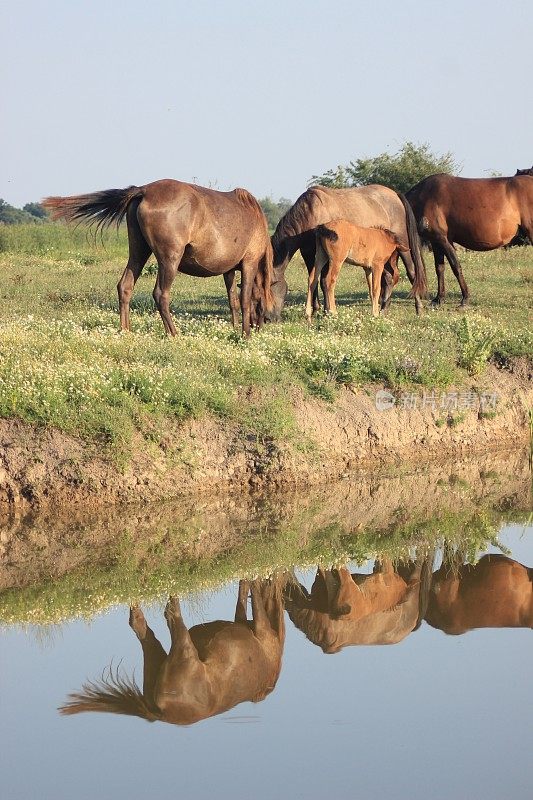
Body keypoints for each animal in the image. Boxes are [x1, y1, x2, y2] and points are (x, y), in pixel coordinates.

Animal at [43, 180, 272, 336]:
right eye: (263, 305)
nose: (261, 326)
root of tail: (143, 190)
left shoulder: (229, 270)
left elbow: (232, 300)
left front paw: (234, 329)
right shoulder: (249, 263)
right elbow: (244, 299)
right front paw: (244, 334)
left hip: (138, 252)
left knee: (125, 286)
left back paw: (126, 330)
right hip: (169, 260)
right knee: (161, 294)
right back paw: (174, 333)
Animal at [59, 576, 286, 724]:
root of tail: (162, 714)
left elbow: (242, 594)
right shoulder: (260, 627)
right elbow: (252, 593)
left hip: (158, 661)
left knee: (144, 625)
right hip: (183, 647)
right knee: (171, 614)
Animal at [268, 186, 426, 320]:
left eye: (269, 287)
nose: (268, 318)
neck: (311, 211)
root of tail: (396, 195)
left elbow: (323, 281)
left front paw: (326, 311)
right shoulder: (309, 253)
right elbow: (314, 280)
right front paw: (315, 310)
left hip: (404, 248)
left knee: (412, 273)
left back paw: (419, 308)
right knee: (388, 277)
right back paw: (383, 308)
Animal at [404, 172, 532, 306]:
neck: (424, 197)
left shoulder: (443, 239)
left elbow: (456, 266)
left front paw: (465, 298)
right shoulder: (436, 241)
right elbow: (439, 268)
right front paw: (439, 299)